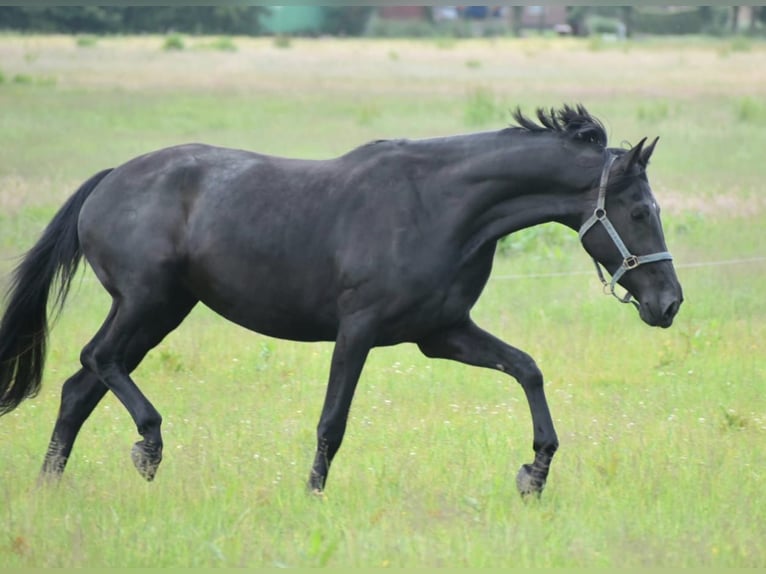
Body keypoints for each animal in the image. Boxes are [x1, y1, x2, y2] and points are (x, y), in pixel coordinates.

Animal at [0, 104, 684, 500]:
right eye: (640, 211)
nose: (670, 303)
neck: (440, 206)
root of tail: (108, 180)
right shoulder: (358, 330)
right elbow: (333, 421)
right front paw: (312, 498)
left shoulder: (442, 333)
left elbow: (528, 369)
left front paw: (534, 474)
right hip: (149, 303)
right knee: (96, 361)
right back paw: (148, 447)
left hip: (160, 312)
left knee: (78, 387)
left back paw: (49, 486)